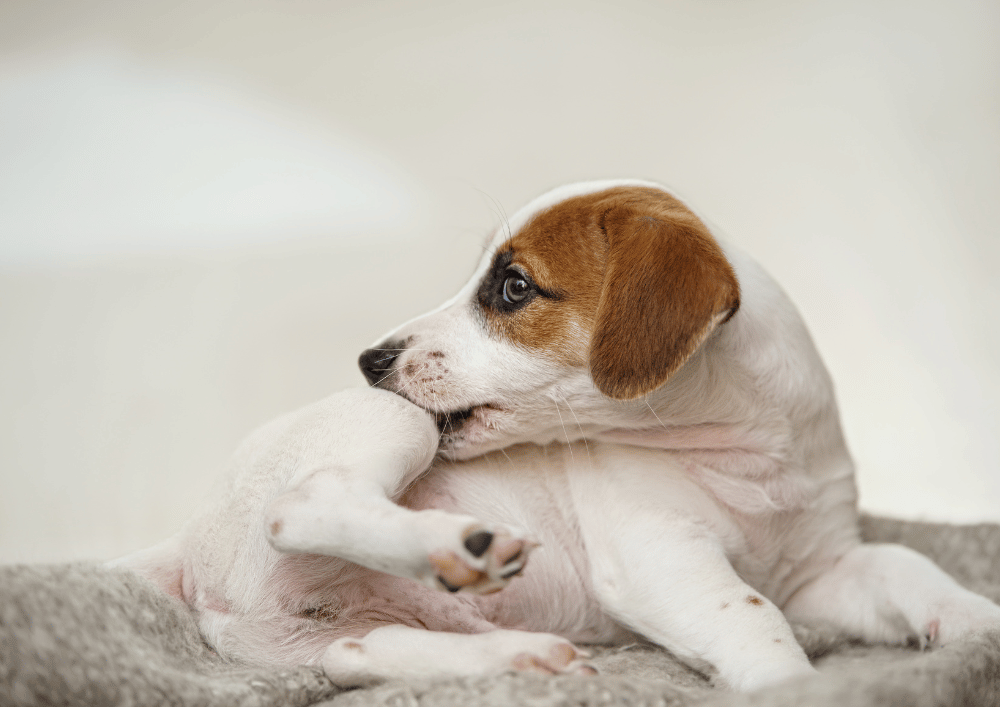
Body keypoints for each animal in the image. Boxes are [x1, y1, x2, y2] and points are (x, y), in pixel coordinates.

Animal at [115, 180, 1000, 696]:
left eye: (513, 287)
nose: (370, 360)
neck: (747, 454)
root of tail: (186, 543)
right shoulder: (659, 556)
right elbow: (751, 616)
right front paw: (792, 682)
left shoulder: (821, 570)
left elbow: (906, 564)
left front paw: (973, 621)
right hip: (391, 427)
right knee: (302, 504)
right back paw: (458, 546)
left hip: (320, 635)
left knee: (360, 654)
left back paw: (521, 656)